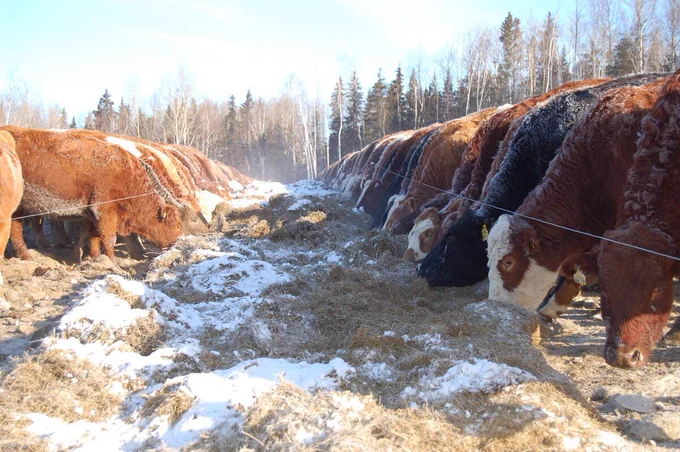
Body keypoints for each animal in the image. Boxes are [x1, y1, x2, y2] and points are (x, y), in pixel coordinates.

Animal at [2, 127, 206, 262]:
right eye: (176, 224)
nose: (177, 243)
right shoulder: (105, 211)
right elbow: (108, 238)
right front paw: (114, 262)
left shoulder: (91, 214)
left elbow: (93, 236)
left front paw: (93, 258)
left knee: (17, 229)